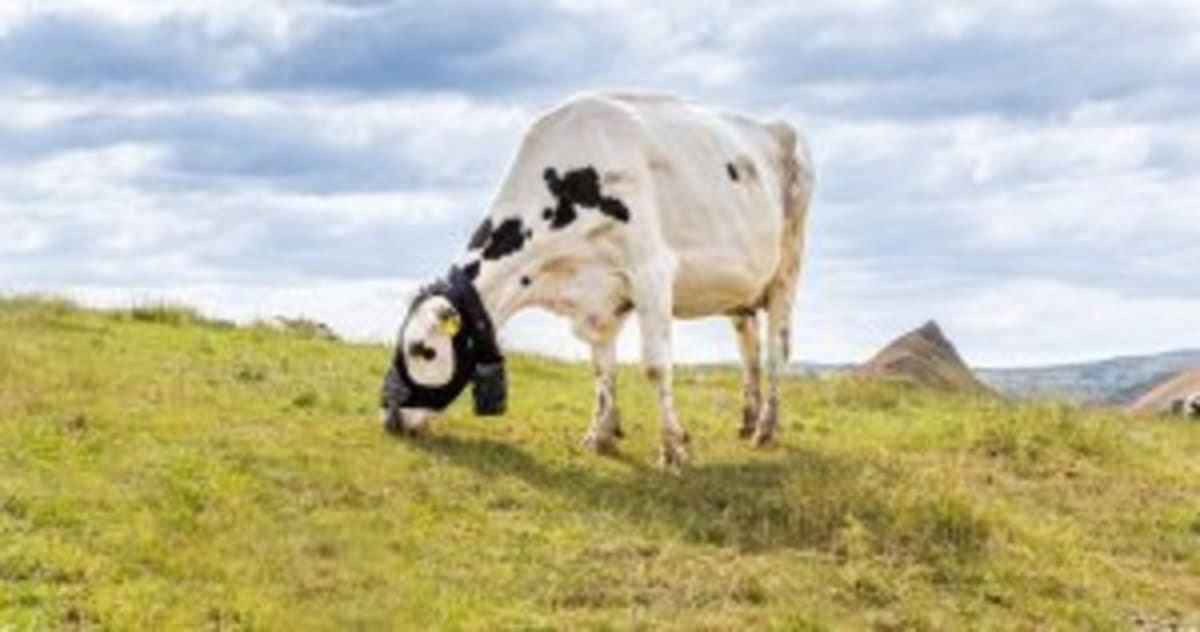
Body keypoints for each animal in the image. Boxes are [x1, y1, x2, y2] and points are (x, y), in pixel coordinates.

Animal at [380, 93, 815, 468]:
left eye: (421, 349)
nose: (389, 418)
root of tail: (778, 126)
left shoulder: (651, 271)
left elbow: (655, 366)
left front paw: (673, 449)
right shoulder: (600, 297)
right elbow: (601, 369)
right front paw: (600, 436)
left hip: (787, 269)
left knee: (777, 350)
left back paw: (765, 430)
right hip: (740, 289)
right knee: (748, 348)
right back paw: (747, 420)